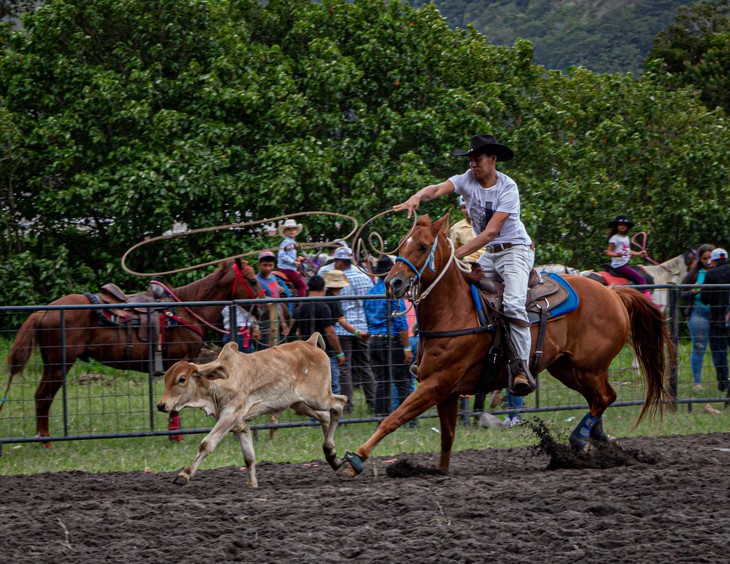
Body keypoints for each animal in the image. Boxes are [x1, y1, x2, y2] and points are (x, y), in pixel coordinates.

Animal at [4, 258, 262, 446]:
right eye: (251, 280)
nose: (262, 306)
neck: (185, 311)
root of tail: (45, 311)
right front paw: (176, 437)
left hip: (52, 363)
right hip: (60, 364)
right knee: (43, 396)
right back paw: (47, 442)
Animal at [336, 216, 672, 480]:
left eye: (421, 246)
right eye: (400, 244)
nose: (392, 283)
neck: (455, 310)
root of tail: (614, 293)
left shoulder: (437, 383)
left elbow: (393, 418)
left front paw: (353, 460)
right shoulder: (448, 392)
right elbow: (447, 436)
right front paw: (436, 470)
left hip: (588, 367)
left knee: (604, 397)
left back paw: (579, 439)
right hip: (567, 369)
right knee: (600, 399)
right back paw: (603, 443)